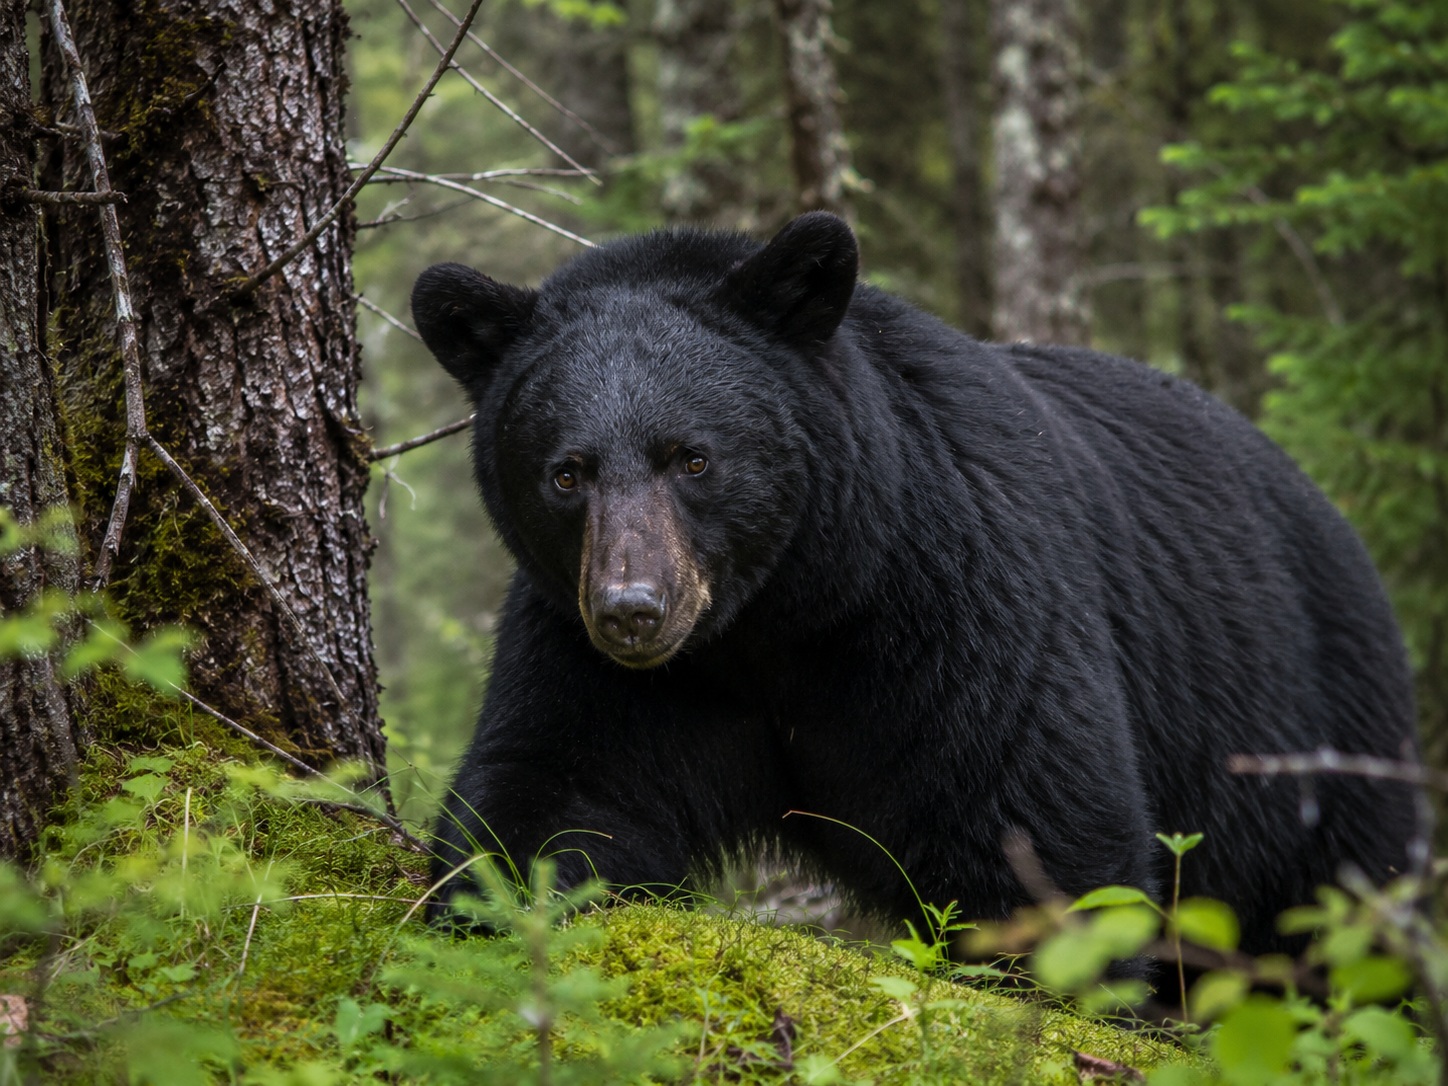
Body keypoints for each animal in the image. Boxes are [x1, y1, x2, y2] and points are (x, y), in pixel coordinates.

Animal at [410, 211, 1422, 957]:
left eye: (691, 458)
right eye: (565, 473)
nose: (632, 612)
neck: (776, 617)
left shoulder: (953, 605)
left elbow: (1028, 835)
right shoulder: (598, 654)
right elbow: (562, 794)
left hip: (1306, 731)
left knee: (1342, 914)